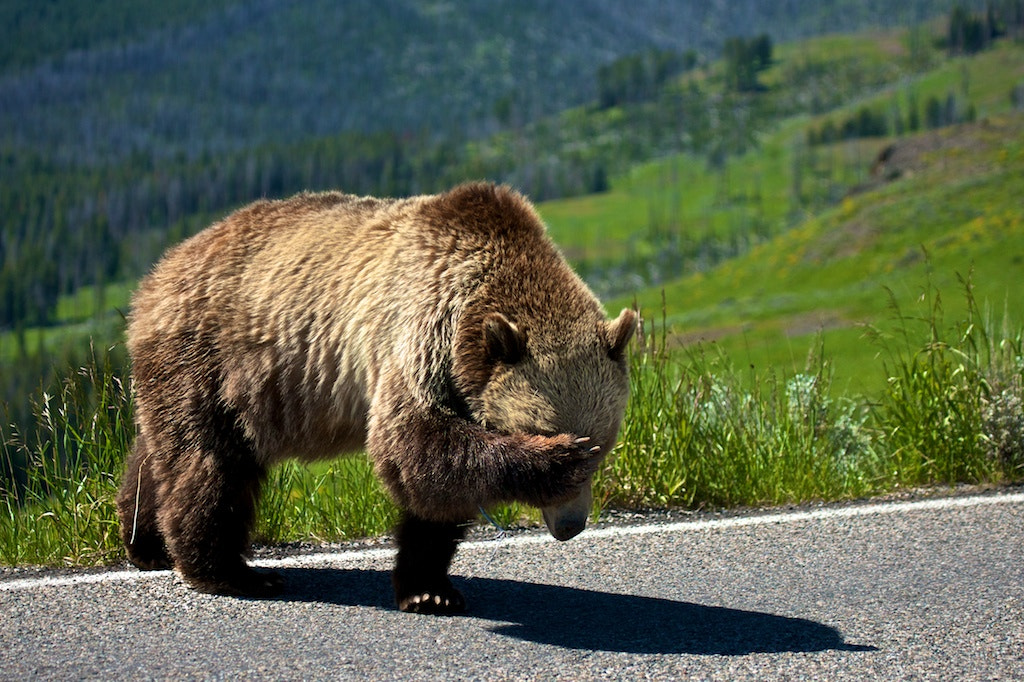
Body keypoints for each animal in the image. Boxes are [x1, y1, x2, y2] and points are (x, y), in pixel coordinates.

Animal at [116, 180, 634, 610]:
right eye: (547, 431)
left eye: (604, 445)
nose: (571, 526)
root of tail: (157, 275)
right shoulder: (420, 328)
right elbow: (413, 445)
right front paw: (553, 460)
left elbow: (435, 494)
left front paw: (429, 589)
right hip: (210, 356)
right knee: (211, 462)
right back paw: (232, 572)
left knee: (160, 453)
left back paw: (145, 541)